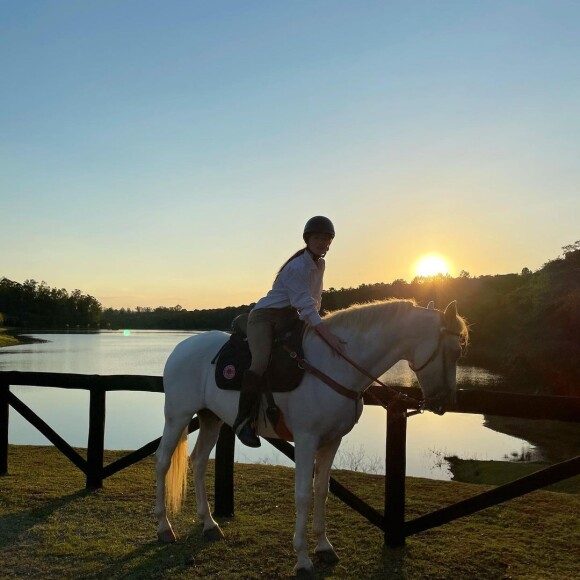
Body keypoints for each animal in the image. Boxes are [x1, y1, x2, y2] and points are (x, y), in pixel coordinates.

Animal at [156, 302, 468, 572]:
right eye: (455, 352)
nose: (445, 402)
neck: (335, 367)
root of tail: (181, 348)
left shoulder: (331, 441)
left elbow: (321, 490)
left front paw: (324, 547)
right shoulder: (306, 441)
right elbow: (304, 494)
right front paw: (303, 559)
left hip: (211, 418)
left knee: (197, 462)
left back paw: (209, 524)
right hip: (177, 417)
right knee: (162, 462)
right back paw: (164, 528)